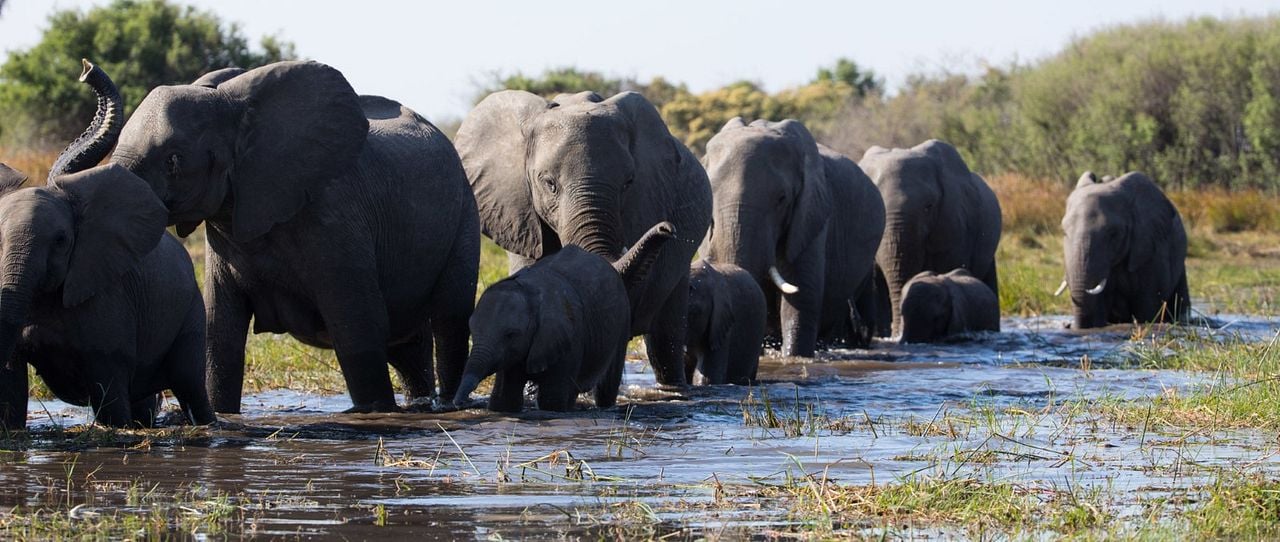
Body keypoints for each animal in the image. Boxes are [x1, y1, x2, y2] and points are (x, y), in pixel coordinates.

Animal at [108, 60, 480, 413]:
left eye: (173, 160)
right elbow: (221, 335)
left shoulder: (335, 215)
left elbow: (358, 326)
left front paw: (375, 412)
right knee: (407, 344)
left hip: (464, 212)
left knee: (449, 320)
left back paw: (449, 405)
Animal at [453, 222, 675, 412]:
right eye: (472, 331)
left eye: (510, 335)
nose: (458, 404)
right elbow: (504, 398)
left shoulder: (568, 340)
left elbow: (552, 400)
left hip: (620, 324)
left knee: (605, 385)